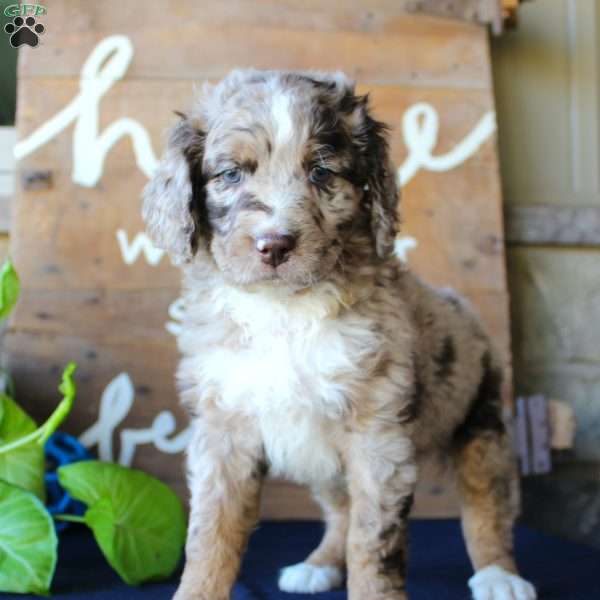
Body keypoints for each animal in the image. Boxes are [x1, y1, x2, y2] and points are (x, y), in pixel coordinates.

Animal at [143, 68, 536, 596]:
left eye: (321, 172)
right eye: (231, 174)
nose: (273, 244)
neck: (283, 310)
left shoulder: (378, 435)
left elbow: (373, 543)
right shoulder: (223, 428)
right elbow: (210, 535)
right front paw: (197, 591)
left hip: (482, 420)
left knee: (485, 503)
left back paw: (499, 575)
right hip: (323, 461)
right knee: (340, 510)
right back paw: (319, 565)